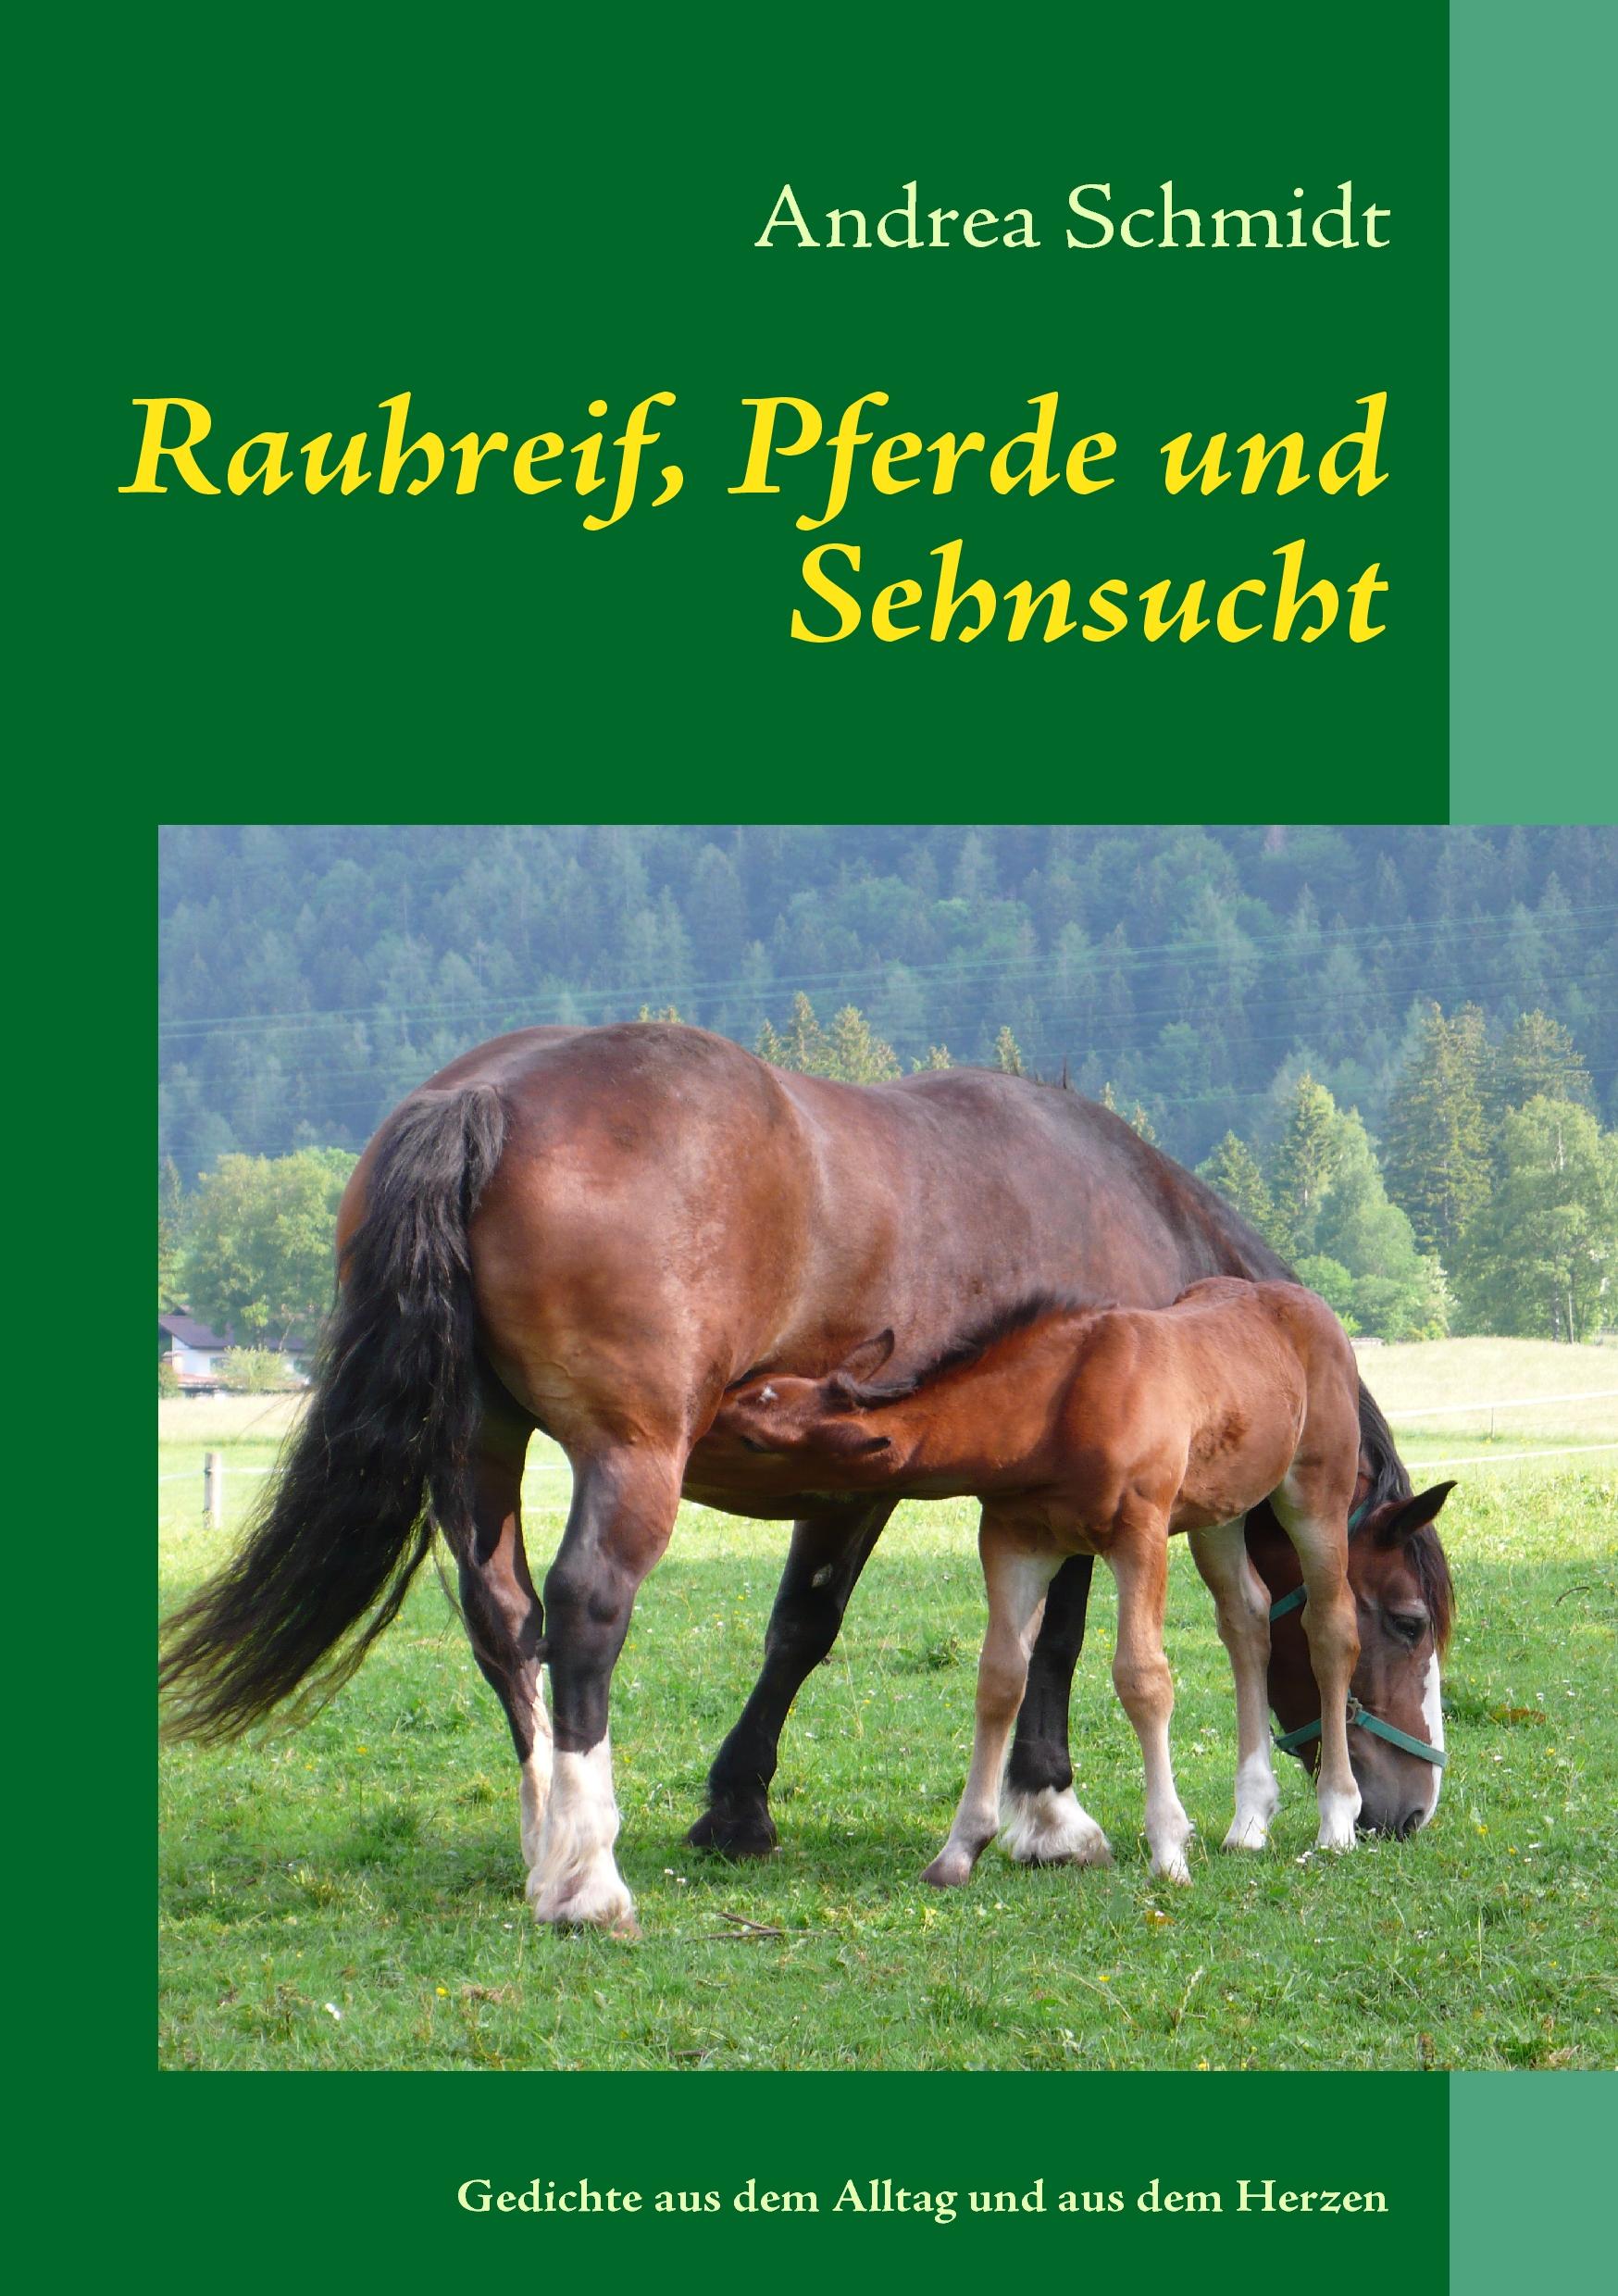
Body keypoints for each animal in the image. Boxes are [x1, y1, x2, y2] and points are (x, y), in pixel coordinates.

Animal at [711, 1280, 1455, 1886]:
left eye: (752, 1436)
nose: (696, 1423)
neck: (1057, 1406)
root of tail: (1310, 1306)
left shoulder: (1140, 1533)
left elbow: (1142, 1678)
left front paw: (1168, 1852)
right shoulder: (1012, 1540)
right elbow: (998, 1679)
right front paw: (960, 1850)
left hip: (1314, 1495)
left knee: (1329, 1630)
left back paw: (1335, 1820)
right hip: (1222, 1514)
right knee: (1248, 1620)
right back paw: (1249, 1822)